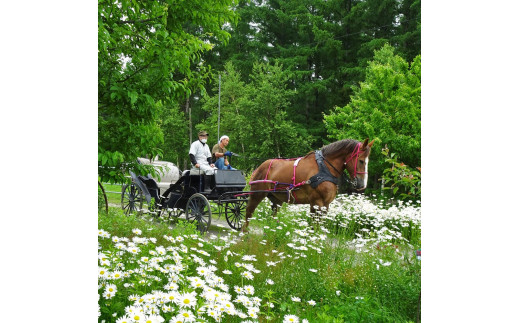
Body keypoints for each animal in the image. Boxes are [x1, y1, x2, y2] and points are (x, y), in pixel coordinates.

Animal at [242, 139, 372, 233]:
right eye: (361, 161)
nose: (362, 185)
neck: (324, 168)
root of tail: (260, 166)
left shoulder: (326, 205)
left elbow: (319, 225)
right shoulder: (316, 202)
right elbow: (314, 225)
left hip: (276, 199)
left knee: (271, 216)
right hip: (257, 194)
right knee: (249, 212)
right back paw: (244, 232)